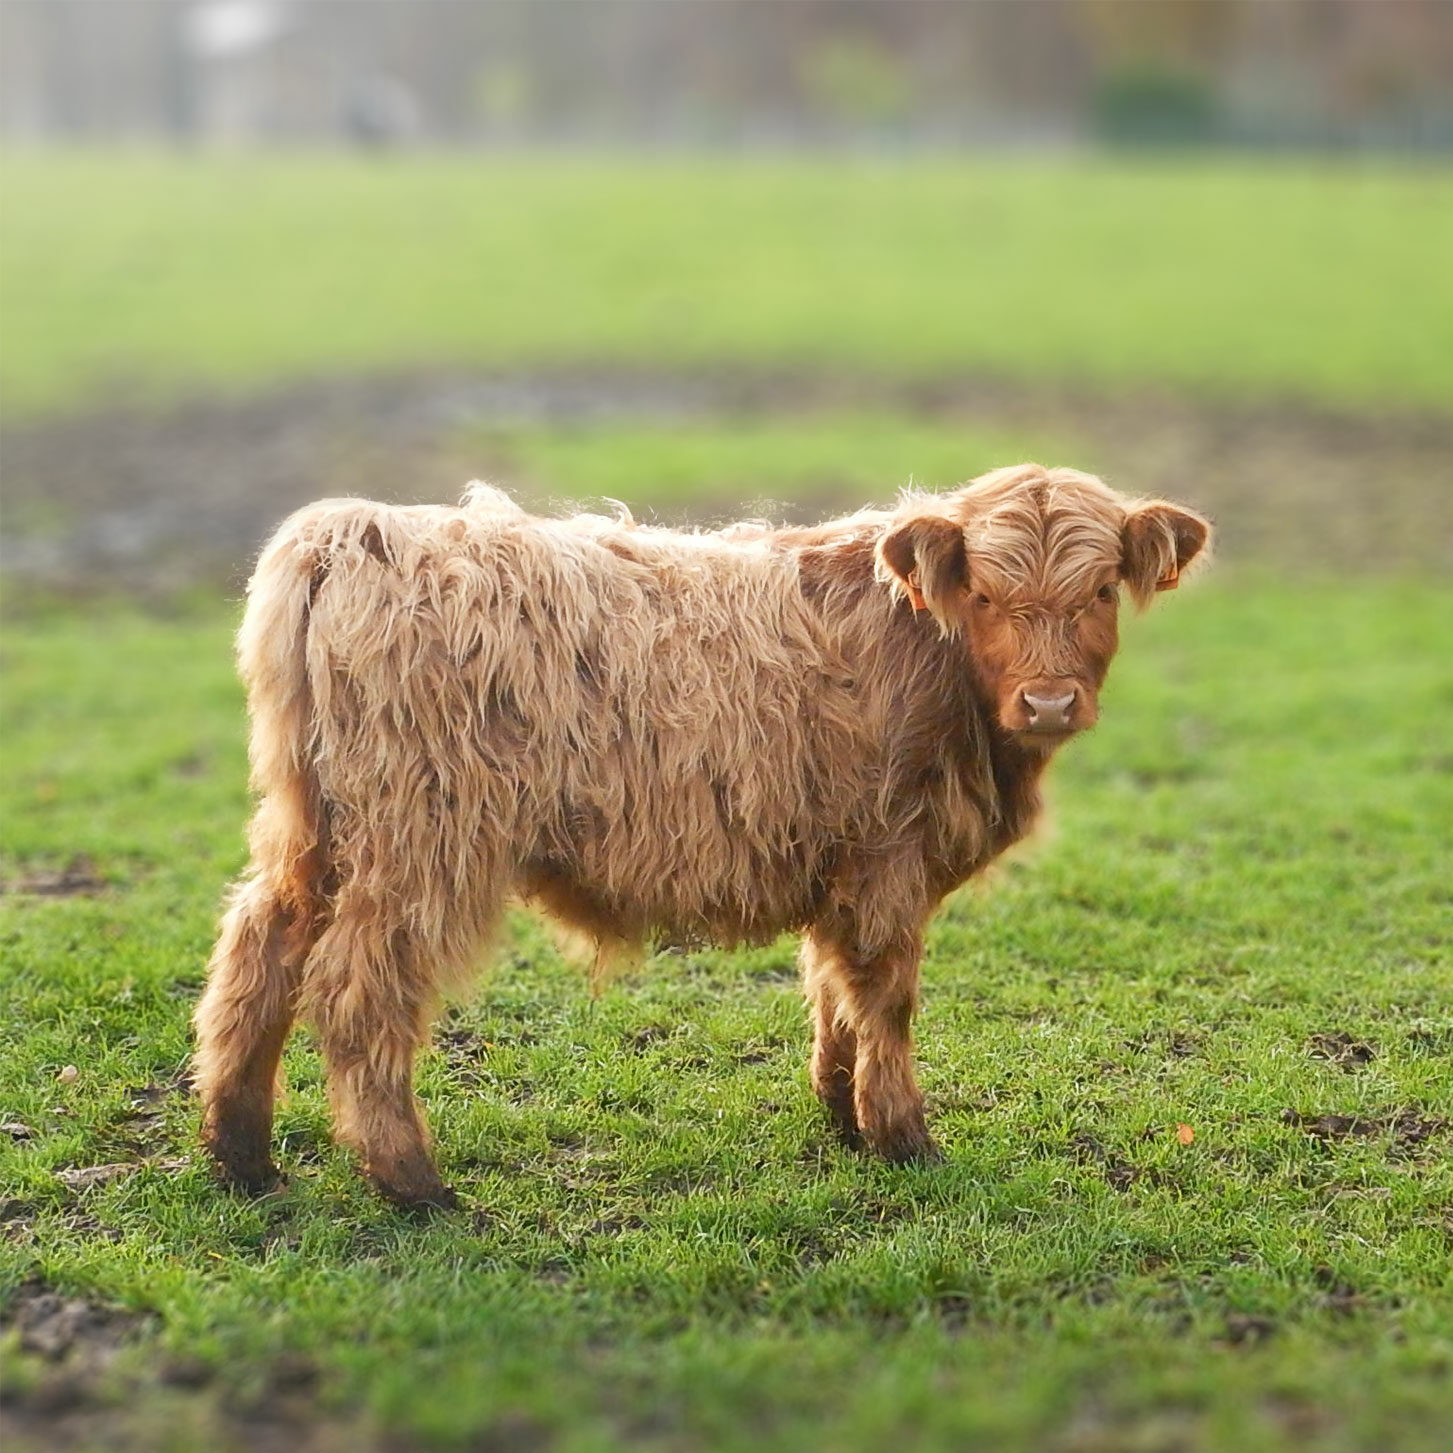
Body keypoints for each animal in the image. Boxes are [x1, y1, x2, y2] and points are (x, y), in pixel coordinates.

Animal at [196, 462, 1214, 1203]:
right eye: (989, 594)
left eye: (1098, 591)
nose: (1049, 702)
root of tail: (354, 529)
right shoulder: (889, 857)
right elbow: (885, 996)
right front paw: (904, 1138)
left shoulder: (839, 859)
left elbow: (831, 988)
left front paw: (840, 1115)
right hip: (423, 842)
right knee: (358, 989)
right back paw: (413, 1184)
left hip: (314, 828)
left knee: (259, 950)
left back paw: (243, 1157)